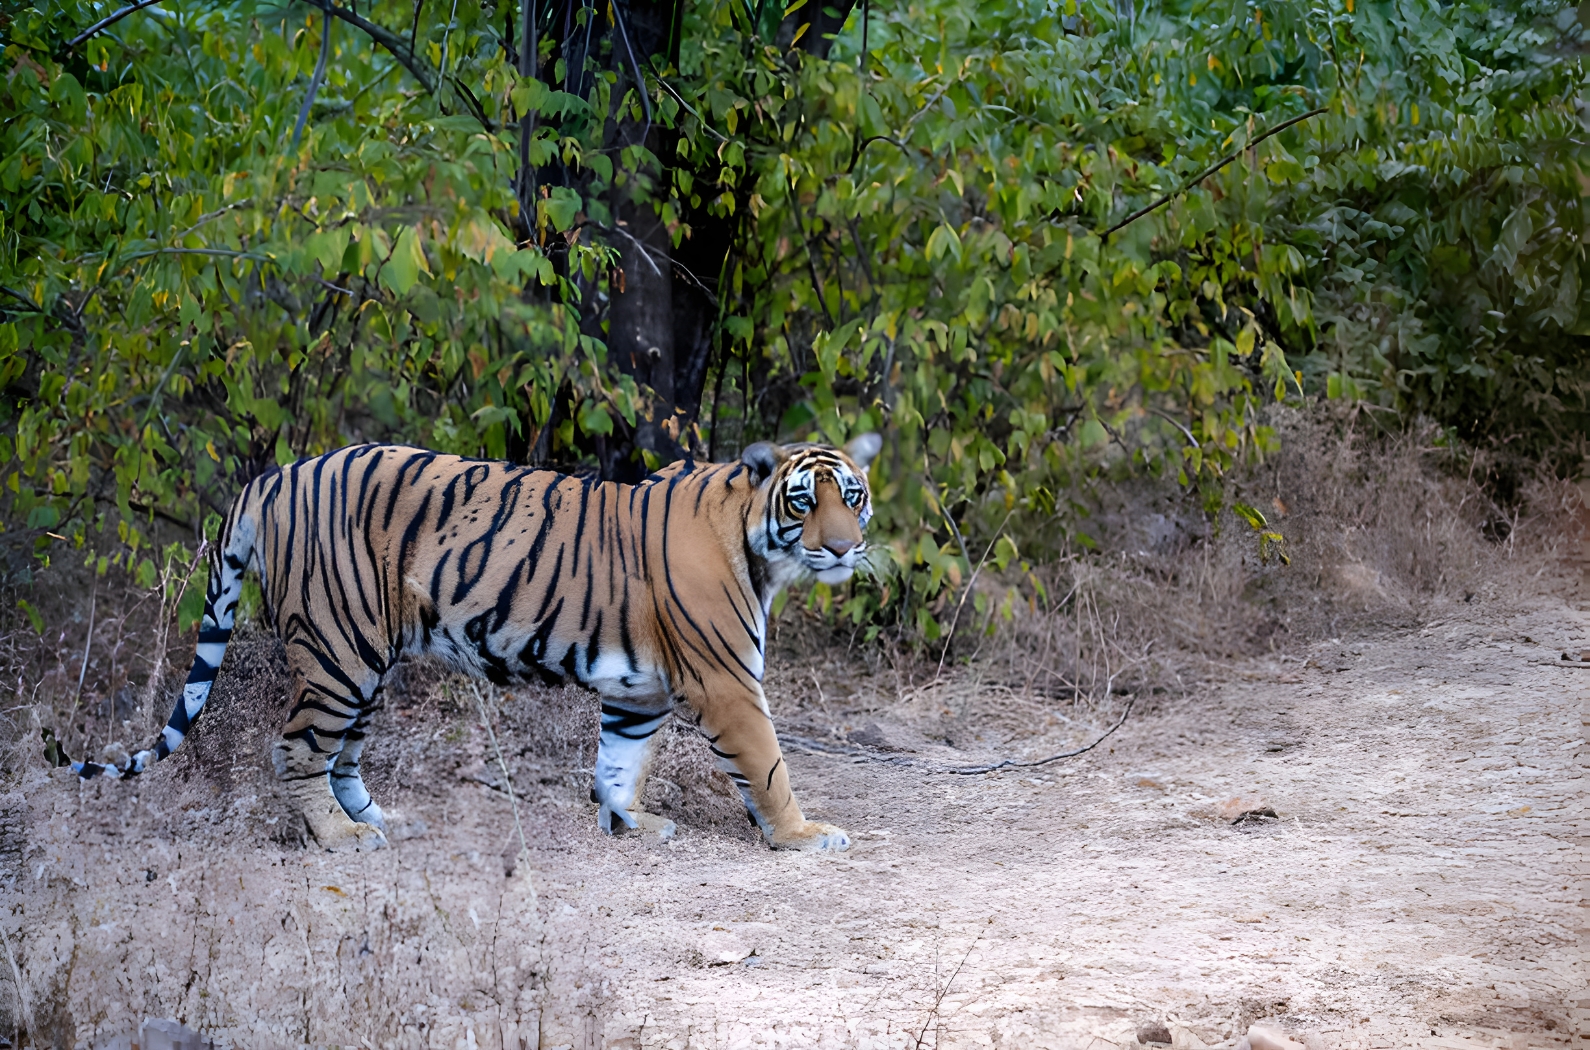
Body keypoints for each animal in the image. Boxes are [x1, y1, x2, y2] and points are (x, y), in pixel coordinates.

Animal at [68, 435, 884, 852]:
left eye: (855, 495)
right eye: (804, 502)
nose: (844, 548)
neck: (756, 542)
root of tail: (274, 475)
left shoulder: (639, 690)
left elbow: (620, 761)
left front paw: (631, 823)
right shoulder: (727, 682)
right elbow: (768, 767)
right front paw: (803, 834)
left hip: (367, 660)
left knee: (341, 754)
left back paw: (380, 821)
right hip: (339, 650)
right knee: (295, 747)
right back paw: (339, 837)